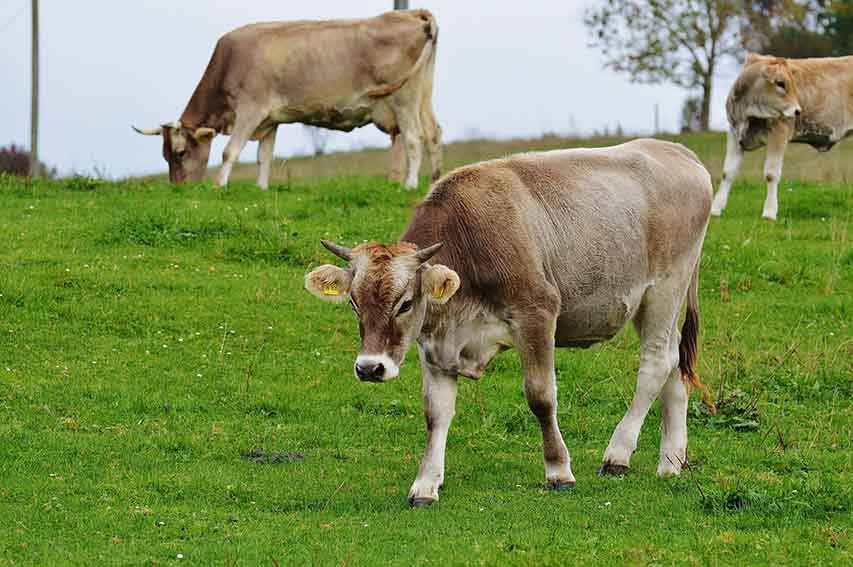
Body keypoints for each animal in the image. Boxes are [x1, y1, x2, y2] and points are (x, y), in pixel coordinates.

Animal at [134, 10, 442, 190]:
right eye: (164, 155)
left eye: (180, 152)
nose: (178, 187)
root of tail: (411, 13)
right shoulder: (270, 121)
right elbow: (264, 157)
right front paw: (261, 188)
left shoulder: (250, 110)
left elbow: (230, 151)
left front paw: (220, 185)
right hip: (423, 95)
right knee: (433, 134)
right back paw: (436, 180)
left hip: (403, 99)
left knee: (413, 138)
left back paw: (410, 184)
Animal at [302, 140, 716, 508]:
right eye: (354, 303)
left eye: (405, 304)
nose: (370, 368)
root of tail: (679, 152)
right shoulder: (435, 345)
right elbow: (435, 414)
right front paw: (425, 484)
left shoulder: (537, 313)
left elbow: (541, 396)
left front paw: (559, 471)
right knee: (674, 363)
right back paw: (671, 460)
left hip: (665, 288)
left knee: (656, 363)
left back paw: (618, 454)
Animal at [704, 53, 852, 221]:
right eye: (780, 83)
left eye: (793, 83)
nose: (797, 111)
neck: (747, 112)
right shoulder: (734, 133)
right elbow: (728, 172)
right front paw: (715, 209)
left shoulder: (779, 131)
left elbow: (771, 174)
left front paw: (769, 212)